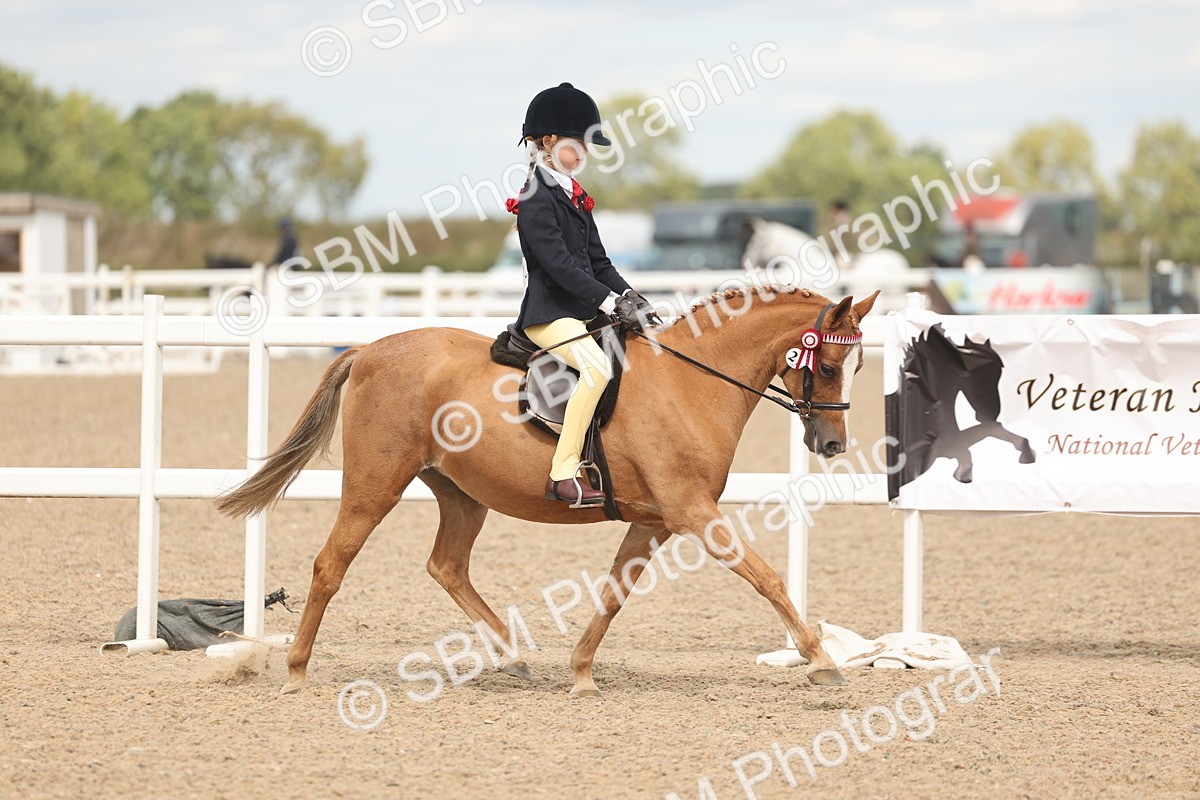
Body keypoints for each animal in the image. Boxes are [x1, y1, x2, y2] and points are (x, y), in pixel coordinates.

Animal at [215, 285, 880, 697]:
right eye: (826, 367)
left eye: (857, 367)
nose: (831, 444)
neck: (691, 383)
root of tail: (369, 348)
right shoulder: (692, 511)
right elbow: (766, 577)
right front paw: (821, 661)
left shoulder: (655, 520)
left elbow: (613, 594)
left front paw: (581, 672)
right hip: (374, 485)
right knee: (332, 564)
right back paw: (296, 671)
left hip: (461, 493)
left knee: (446, 566)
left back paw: (514, 656)